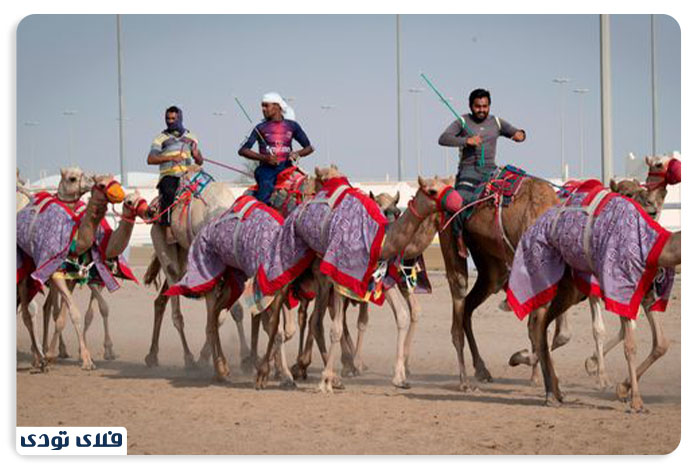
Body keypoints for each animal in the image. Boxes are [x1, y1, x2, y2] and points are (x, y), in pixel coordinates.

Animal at [16, 174, 124, 372]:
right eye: (101, 184)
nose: (119, 194)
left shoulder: (84, 277)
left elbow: (96, 310)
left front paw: (105, 351)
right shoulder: (65, 275)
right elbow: (74, 312)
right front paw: (86, 359)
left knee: (46, 308)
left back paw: (52, 351)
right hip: (26, 276)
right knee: (30, 313)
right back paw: (39, 357)